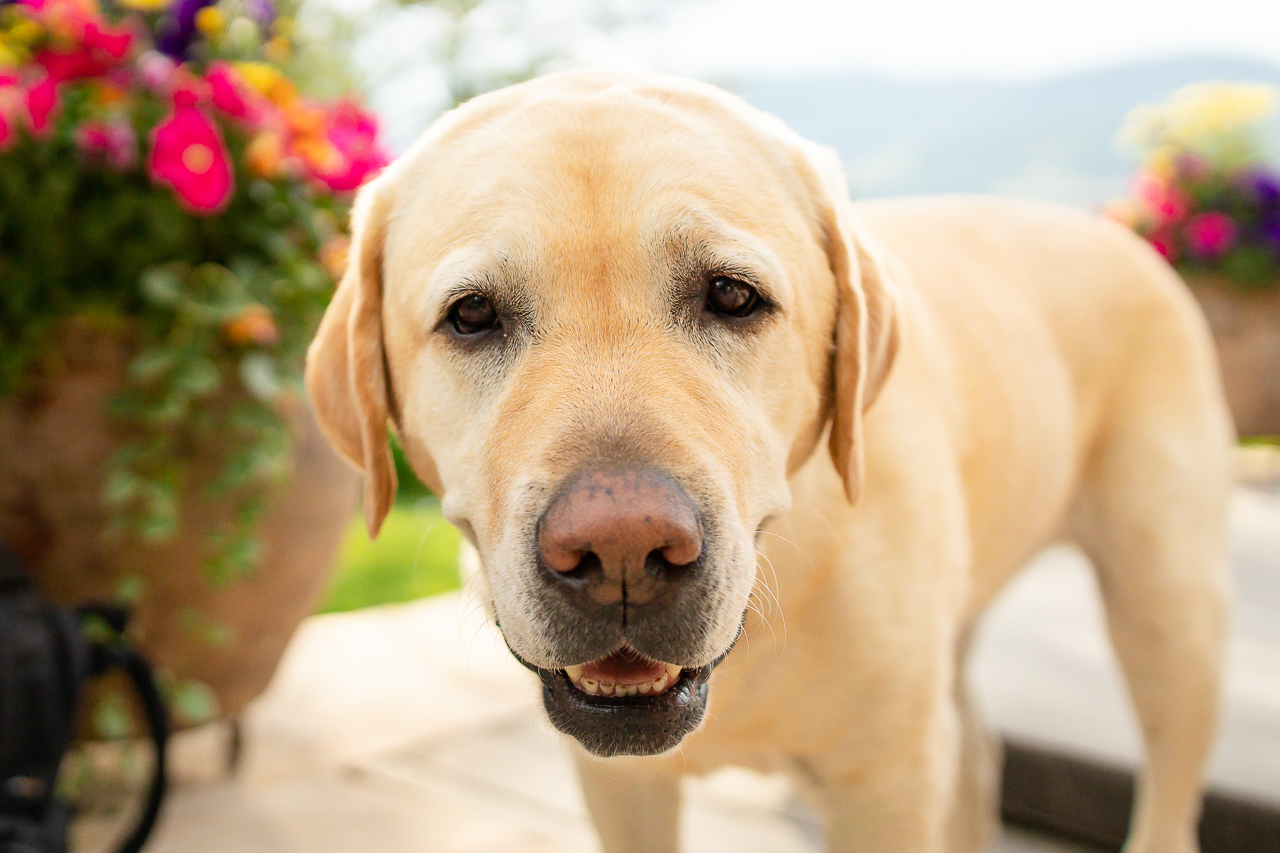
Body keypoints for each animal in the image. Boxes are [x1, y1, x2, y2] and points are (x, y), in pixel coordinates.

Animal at [304, 69, 1233, 845]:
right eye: (471, 315)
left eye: (731, 295)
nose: (620, 547)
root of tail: (1119, 238)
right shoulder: (623, 787)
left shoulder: (886, 781)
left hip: (1168, 618)